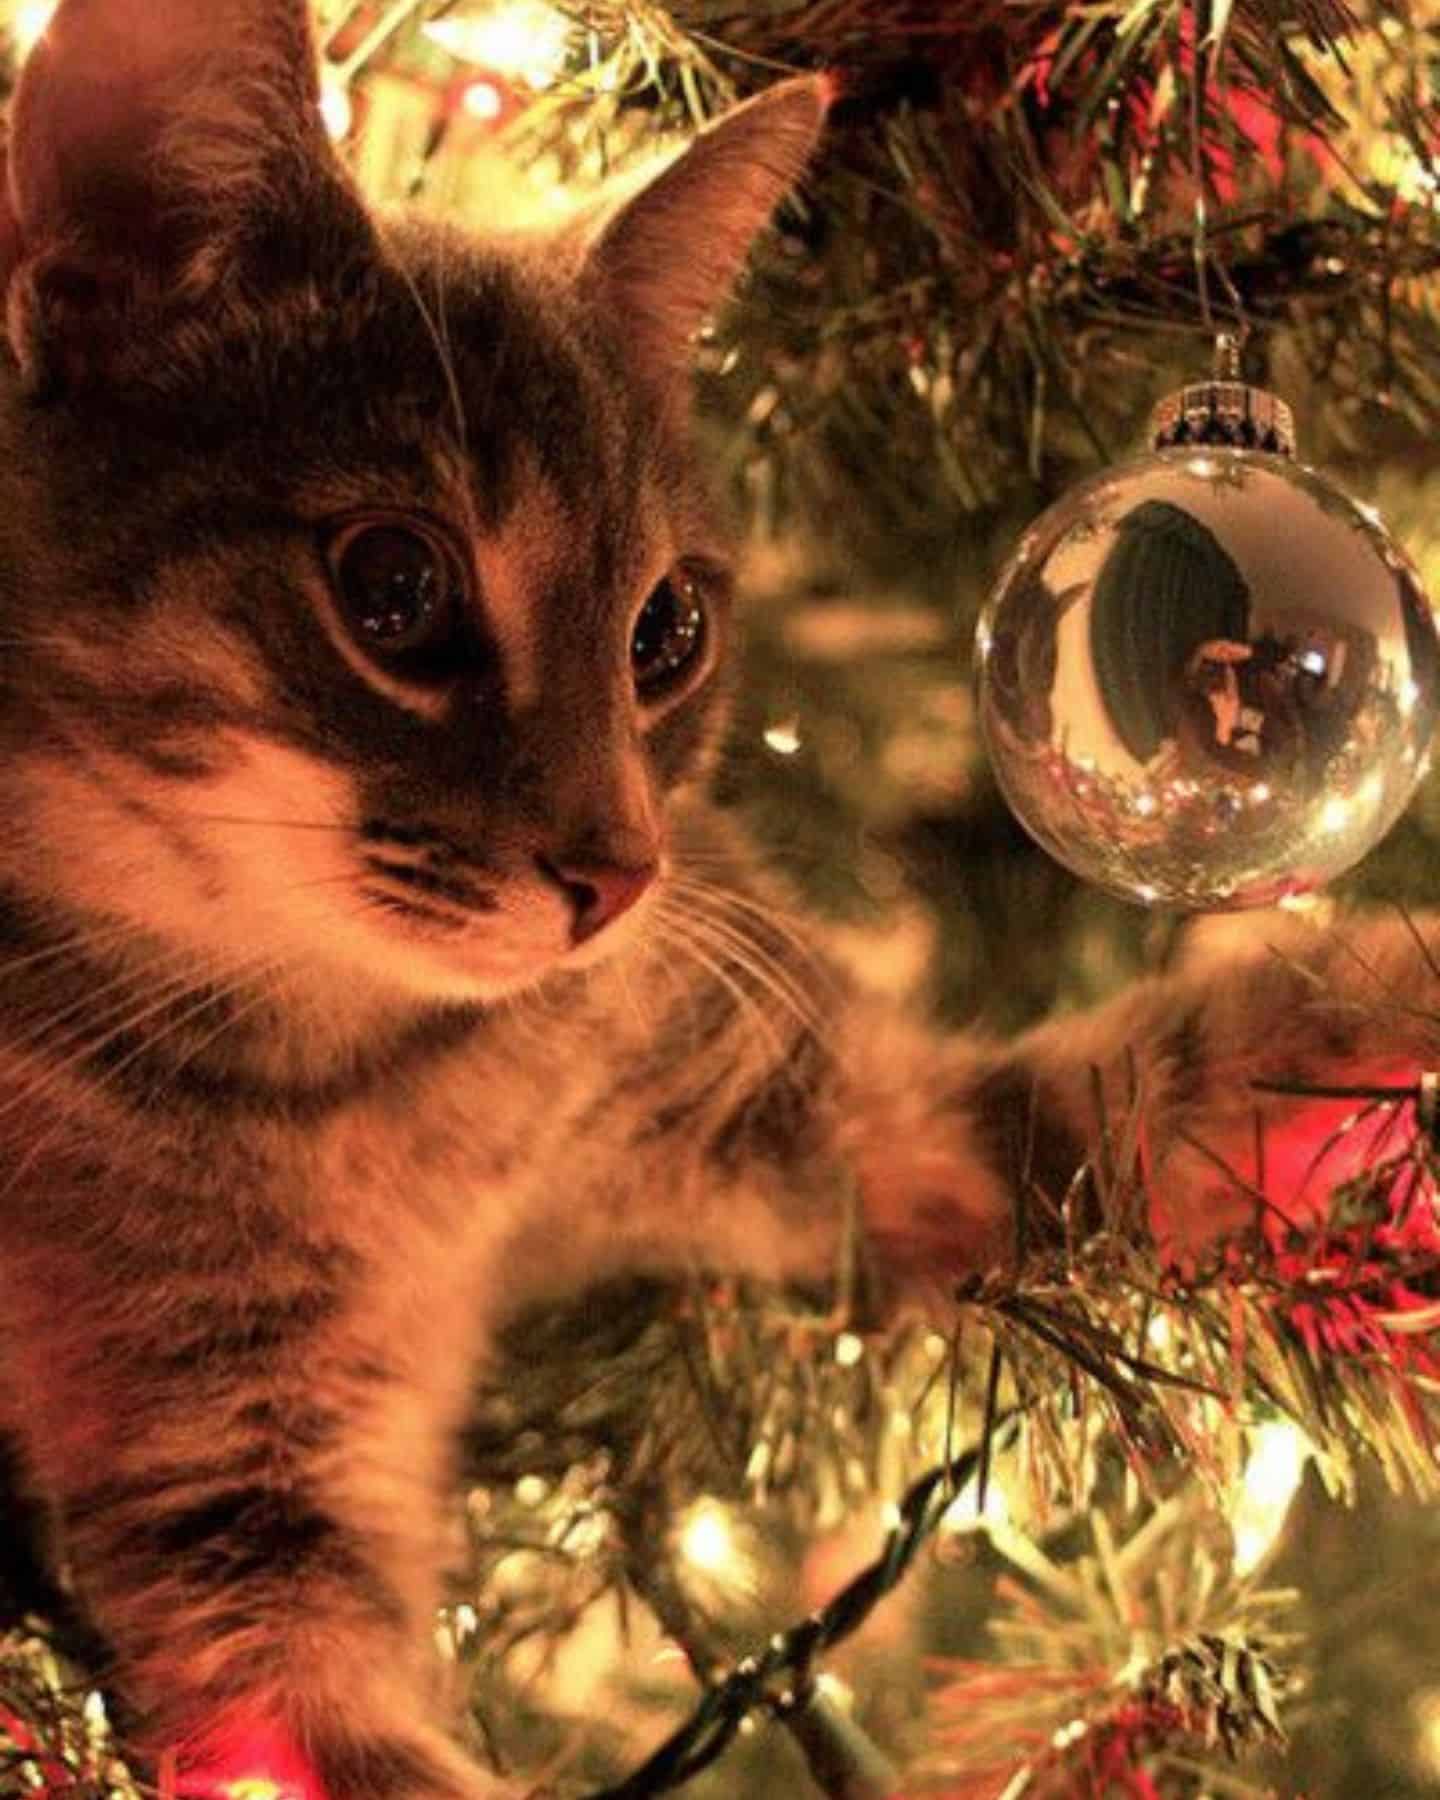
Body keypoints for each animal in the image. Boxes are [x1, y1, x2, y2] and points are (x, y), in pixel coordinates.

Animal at [0, 3, 1432, 1800]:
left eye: (668, 629)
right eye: (392, 586)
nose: (621, 879)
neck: (414, 1095)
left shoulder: (849, 1111)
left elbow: (1173, 1076)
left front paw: (1393, 1005)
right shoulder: (233, 1500)